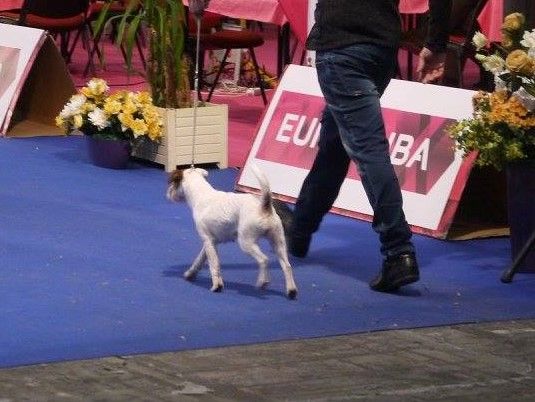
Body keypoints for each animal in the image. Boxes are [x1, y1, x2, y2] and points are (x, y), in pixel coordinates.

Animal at [166, 166, 298, 298]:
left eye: (173, 183)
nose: (168, 194)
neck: (201, 194)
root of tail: (264, 207)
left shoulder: (207, 240)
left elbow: (214, 265)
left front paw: (217, 286)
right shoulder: (211, 242)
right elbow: (200, 260)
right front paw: (191, 273)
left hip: (246, 243)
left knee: (264, 260)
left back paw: (262, 282)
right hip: (278, 243)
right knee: (287, 266)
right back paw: (291, 290)